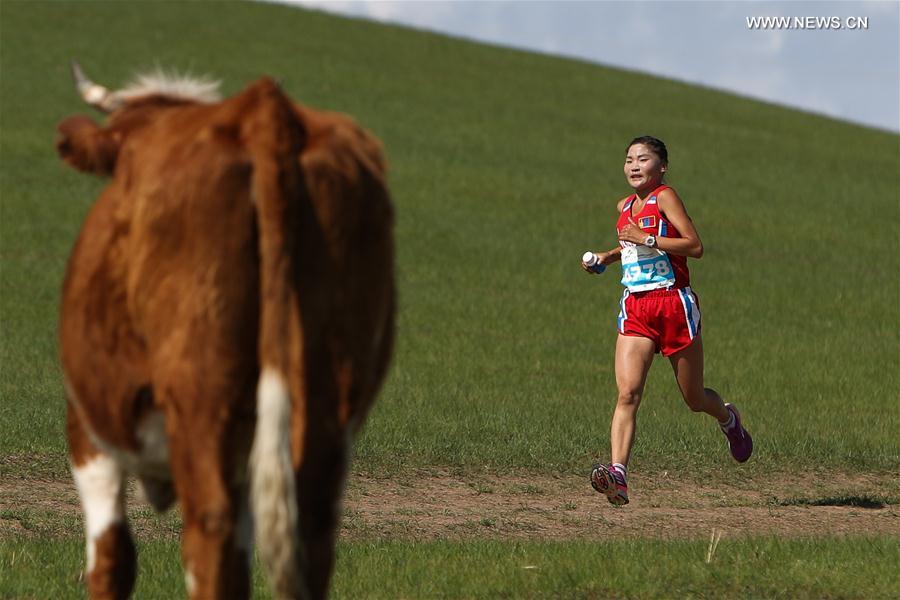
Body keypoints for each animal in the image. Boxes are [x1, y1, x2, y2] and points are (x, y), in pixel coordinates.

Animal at [55, 63, 394, 596]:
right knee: (310, 533)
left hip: (201, 396)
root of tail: (265, 112)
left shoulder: (89, 428)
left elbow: (111, 556)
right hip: (330, 398)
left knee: (208, 528)